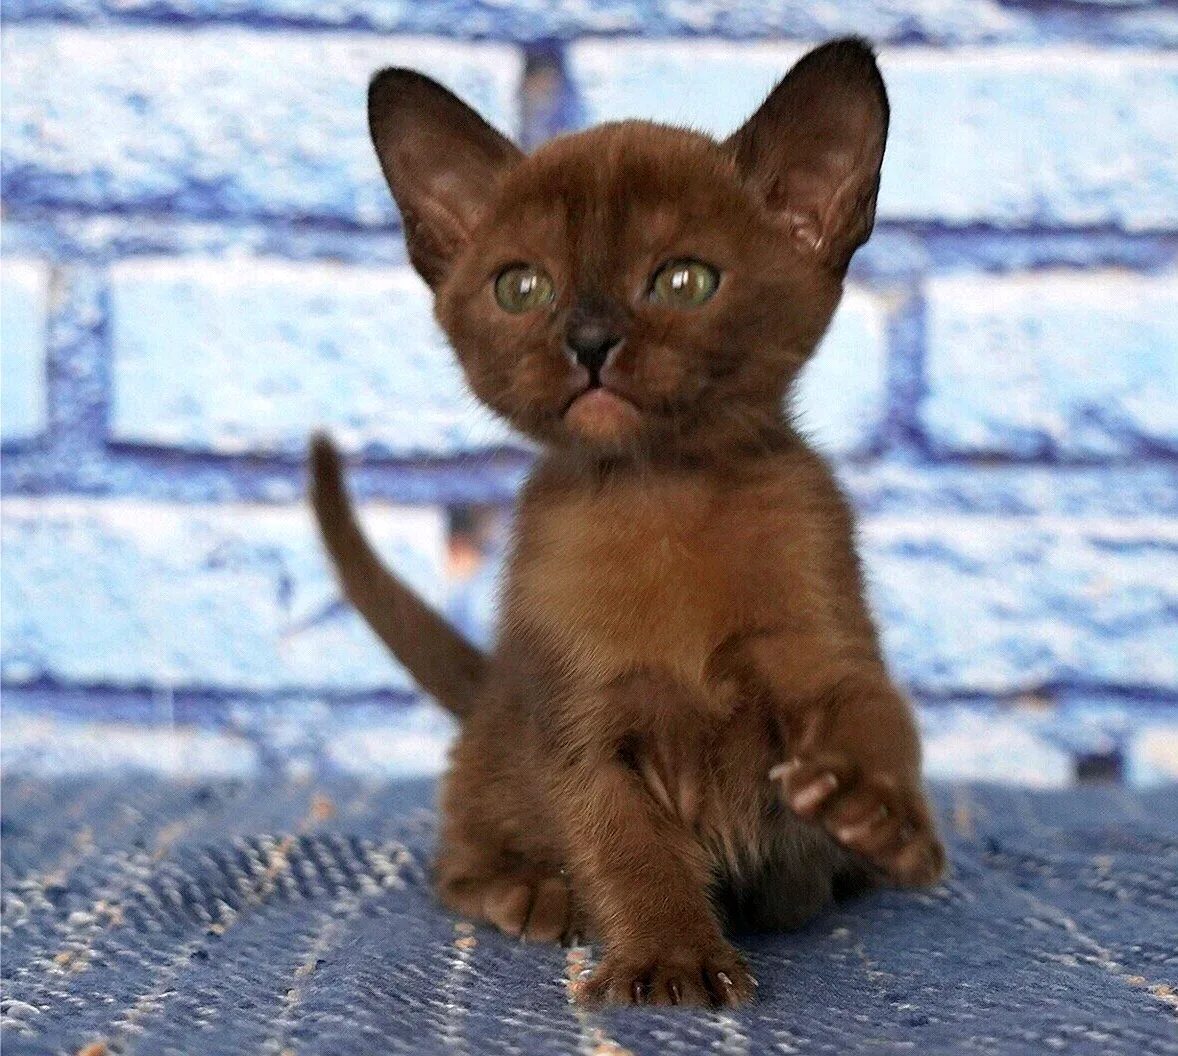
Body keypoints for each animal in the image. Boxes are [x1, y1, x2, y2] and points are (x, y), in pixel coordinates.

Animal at [308, 37, 942, 1008]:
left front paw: (876, 813)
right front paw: (670, 961)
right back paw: (534, 893)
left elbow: (876, 714)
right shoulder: (583, 726)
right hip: (502, 754)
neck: (661, 497)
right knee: (455, 862)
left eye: (684, 280)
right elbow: (628, 850)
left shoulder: (824, 651)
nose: (589, 340)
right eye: (521, 287)